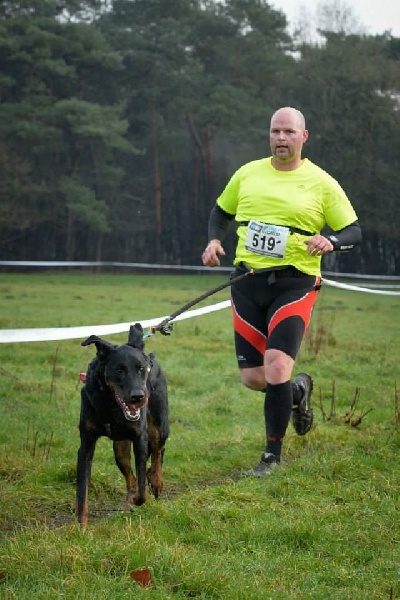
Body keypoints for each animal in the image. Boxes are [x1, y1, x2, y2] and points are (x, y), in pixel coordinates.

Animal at [76, 323, 169, 527]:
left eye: (141, 369)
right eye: (119, 370)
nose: (138, 397)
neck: (111, 406)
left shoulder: (140, 438)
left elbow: (142, 492)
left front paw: (144, 491)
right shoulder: (86, 444)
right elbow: (82, 491)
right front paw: (80, 527)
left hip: (159, 426)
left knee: (158, 451)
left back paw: (156, 480)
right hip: (119, 448)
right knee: (131, 479)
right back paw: (127, 508)